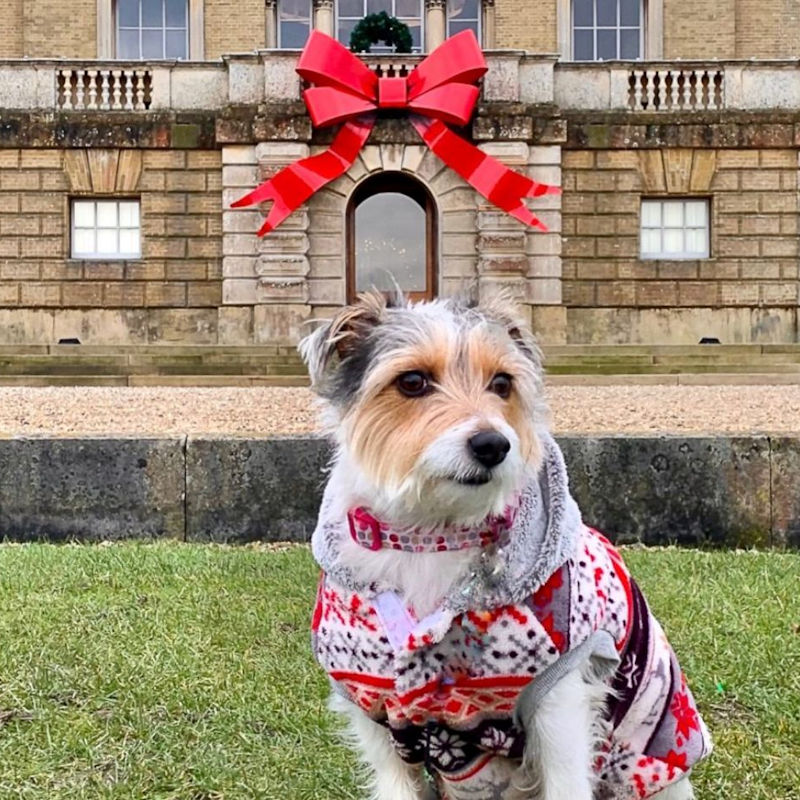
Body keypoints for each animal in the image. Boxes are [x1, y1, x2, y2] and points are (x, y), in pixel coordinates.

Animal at [298, 294, 708, 800]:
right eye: (412, 381)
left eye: (501, 383)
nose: (493, 443)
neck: (430, 536)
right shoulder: (374, 713)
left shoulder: (560, 699)